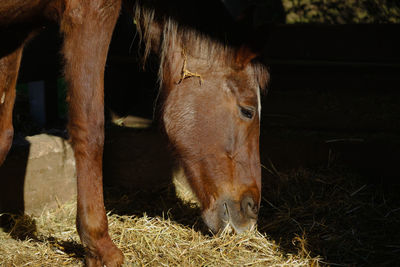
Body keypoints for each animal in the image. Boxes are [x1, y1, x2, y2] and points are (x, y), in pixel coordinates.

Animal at [0, 1, 268, 266]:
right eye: (247, 111)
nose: (251, 209)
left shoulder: (14, 31)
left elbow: (4, 135)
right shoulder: (89, 14)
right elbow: (90, 129)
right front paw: (100, 246)